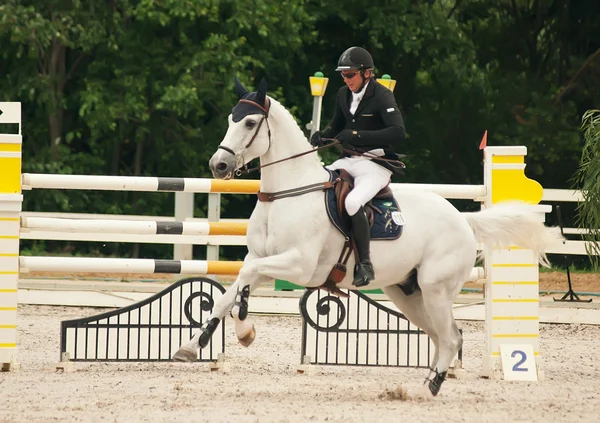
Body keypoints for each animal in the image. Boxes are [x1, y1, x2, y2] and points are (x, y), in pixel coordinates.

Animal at [173, 78, 564, 400]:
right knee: (441, 337)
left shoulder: (299, 266)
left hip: (436, 290)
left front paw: (227, 334)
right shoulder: (260, 257)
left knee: (451, 337)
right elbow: (232, 291)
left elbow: (243, 280)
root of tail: (464, 220)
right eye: (230, 119)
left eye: (250, 123)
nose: (219, 166)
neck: (287, 193)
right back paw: (423, 384)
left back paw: (429, 389)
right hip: (408, 294)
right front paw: (205, 341)